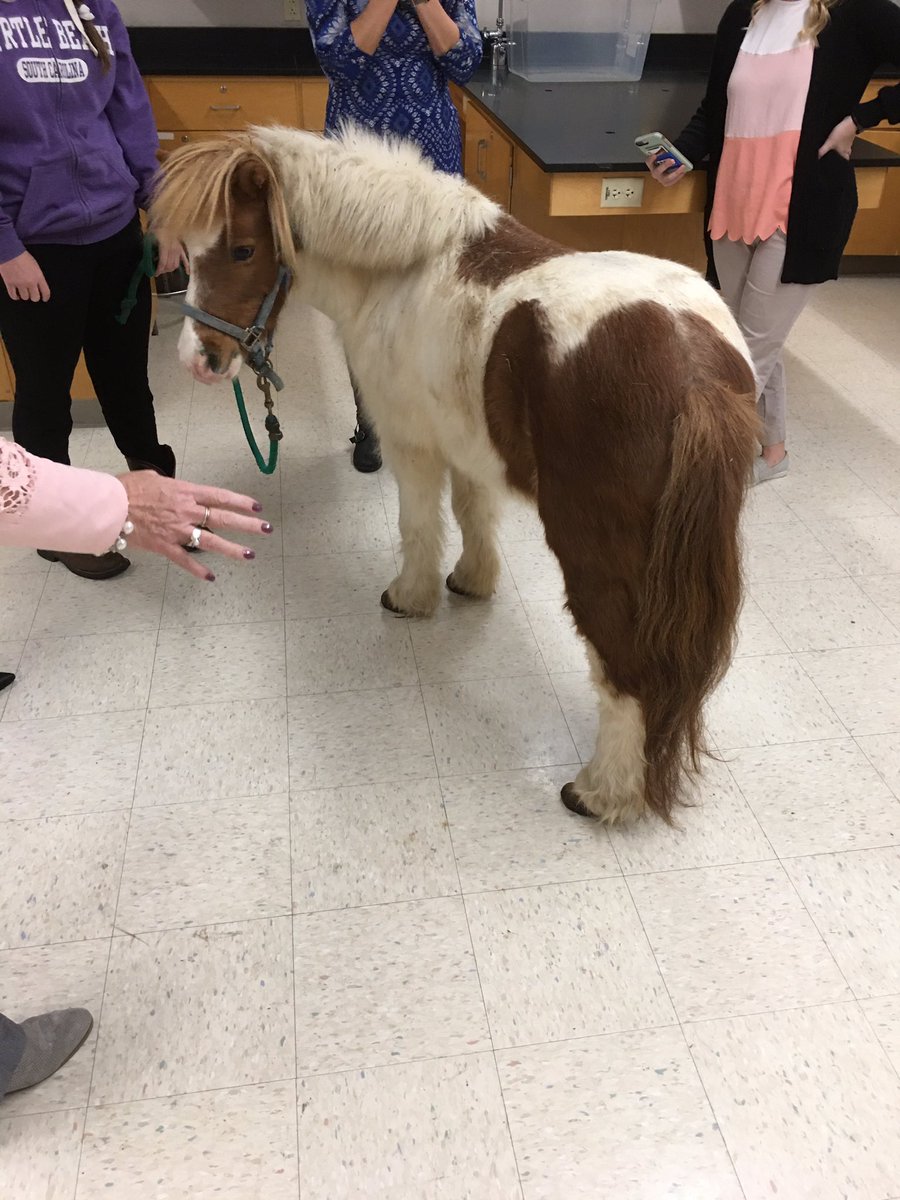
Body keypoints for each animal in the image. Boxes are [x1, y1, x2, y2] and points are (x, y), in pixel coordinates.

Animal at [151, 124, 759, 827]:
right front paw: (471, 582)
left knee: (626, 670)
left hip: (597, 556)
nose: (199, 360)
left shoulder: (412, 446)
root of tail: (695, 373)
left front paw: (410, 598)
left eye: (244, 249)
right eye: (187, 251)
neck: (403, 267)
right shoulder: (470, 448)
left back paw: (601, 793)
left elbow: (418, 526)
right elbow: (474, 515)